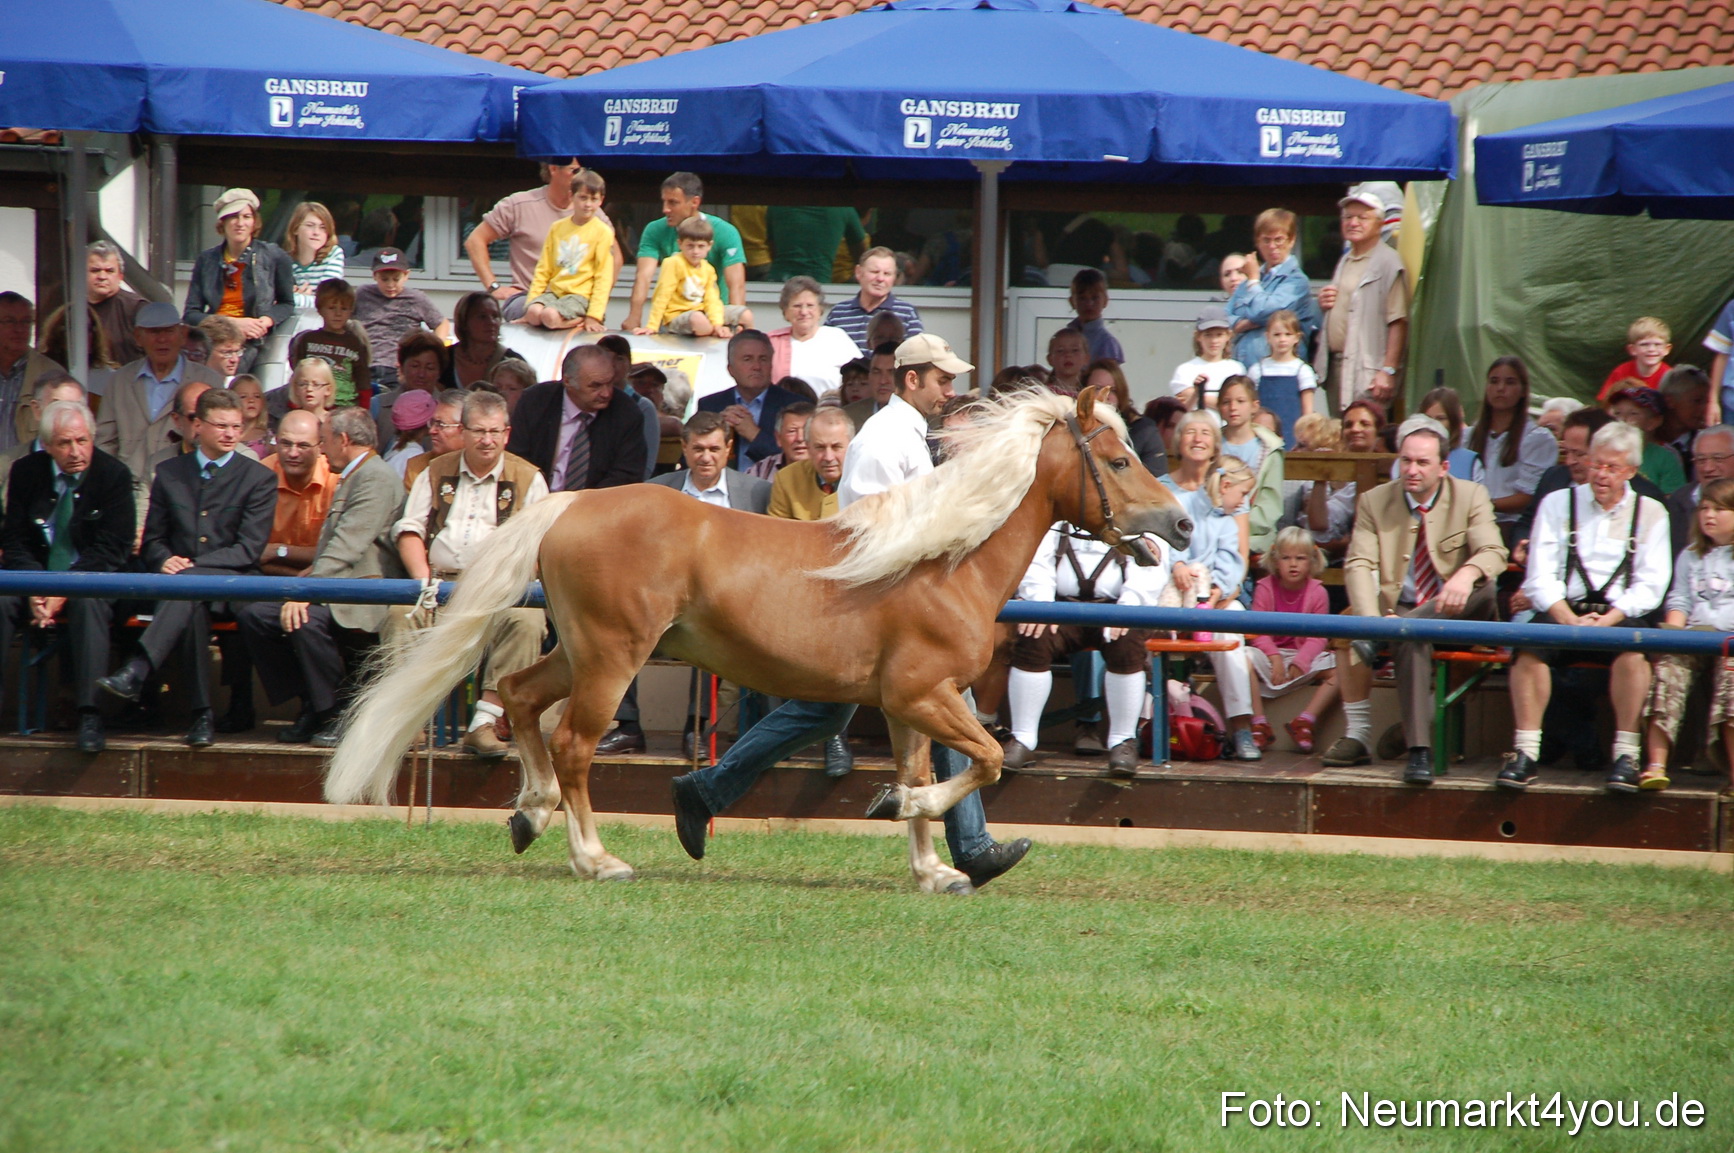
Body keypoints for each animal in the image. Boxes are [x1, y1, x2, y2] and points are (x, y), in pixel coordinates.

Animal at [325, 385, 1191, 893]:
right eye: (1118, 459)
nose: (1182, 524)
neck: (948, 558)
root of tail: (569, 503)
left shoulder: (908, 703)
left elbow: (932, 770)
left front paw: (934, 866)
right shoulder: (923, 692)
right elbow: (979, 761)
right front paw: (901, 807)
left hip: (576, 651)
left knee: (519, 697)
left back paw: (530, 814)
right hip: (611, 657)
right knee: (572, 743)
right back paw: (595, 856)